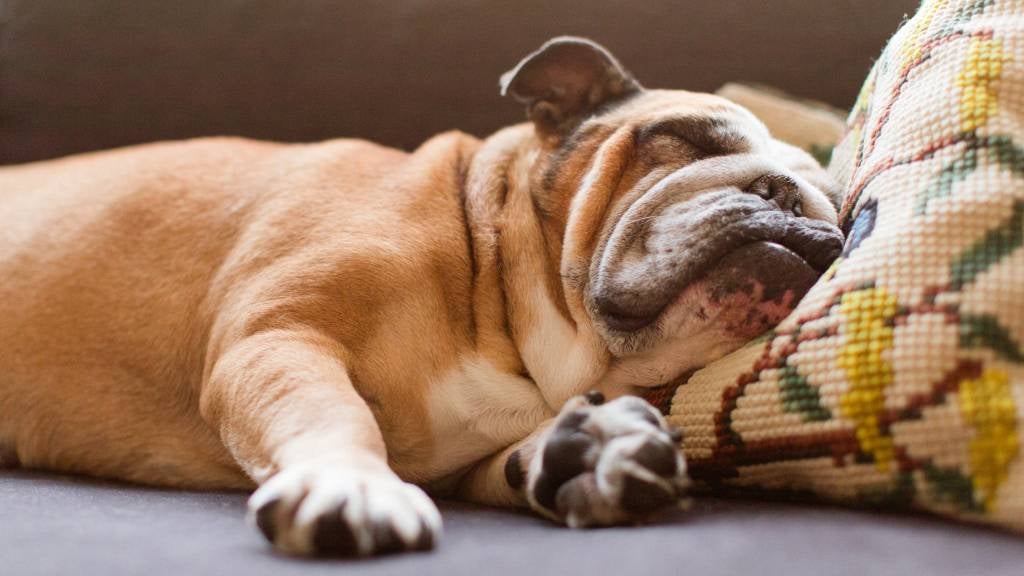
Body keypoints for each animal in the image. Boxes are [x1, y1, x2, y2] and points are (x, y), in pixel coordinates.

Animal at [0, 38, 843, 553]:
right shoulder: (280, 339)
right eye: (686, 138)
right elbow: (332, 413)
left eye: (835, 208)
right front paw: (352, 483)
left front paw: (587, 450)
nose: (787, 199)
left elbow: (506, 462)